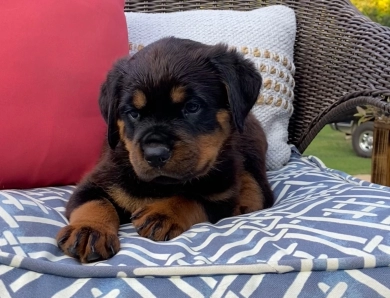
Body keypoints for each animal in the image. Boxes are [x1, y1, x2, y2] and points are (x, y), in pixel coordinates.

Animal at [56, 37, 272, 264]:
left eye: (192, 107)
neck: (160, 187)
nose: (155, 155)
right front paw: (89, 230)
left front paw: (163, 213)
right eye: (133, 113)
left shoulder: (221, 197)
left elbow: (191, 197)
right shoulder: (95, 182)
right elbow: (95, 203)